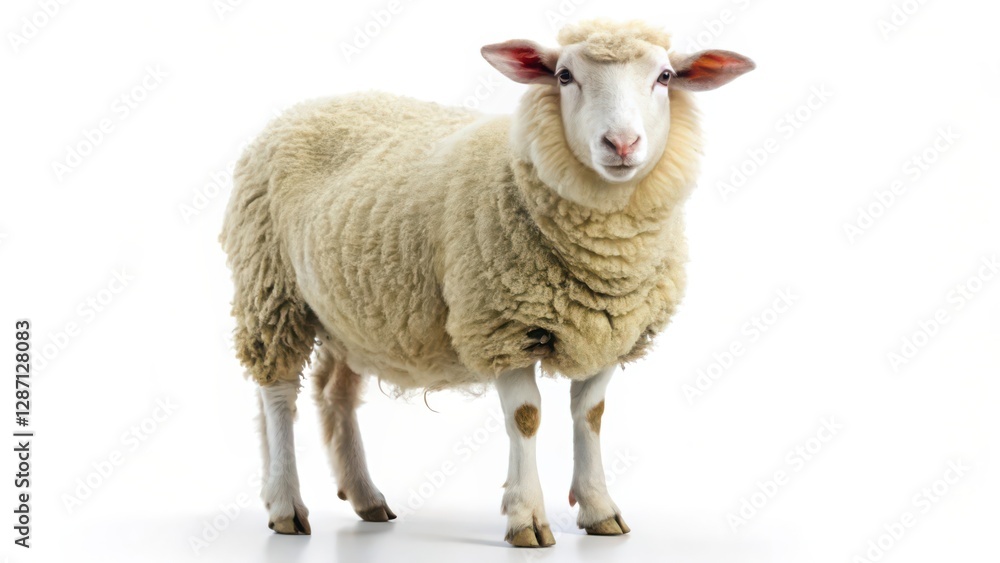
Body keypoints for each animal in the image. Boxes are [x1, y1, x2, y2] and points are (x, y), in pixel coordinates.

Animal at [220, 19, 753, 547]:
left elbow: (591, 415)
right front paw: (527, 519)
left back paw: (365, 497)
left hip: (351, 312)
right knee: (278, 394)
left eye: (664, 77)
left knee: (335, 395)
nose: (621, 144)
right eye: (564, 76)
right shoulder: (503, 325)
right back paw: (286, 505)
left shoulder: (612, 329)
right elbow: (526, 417)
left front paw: (600, 510)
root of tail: (308, 105)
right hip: (271, 287)